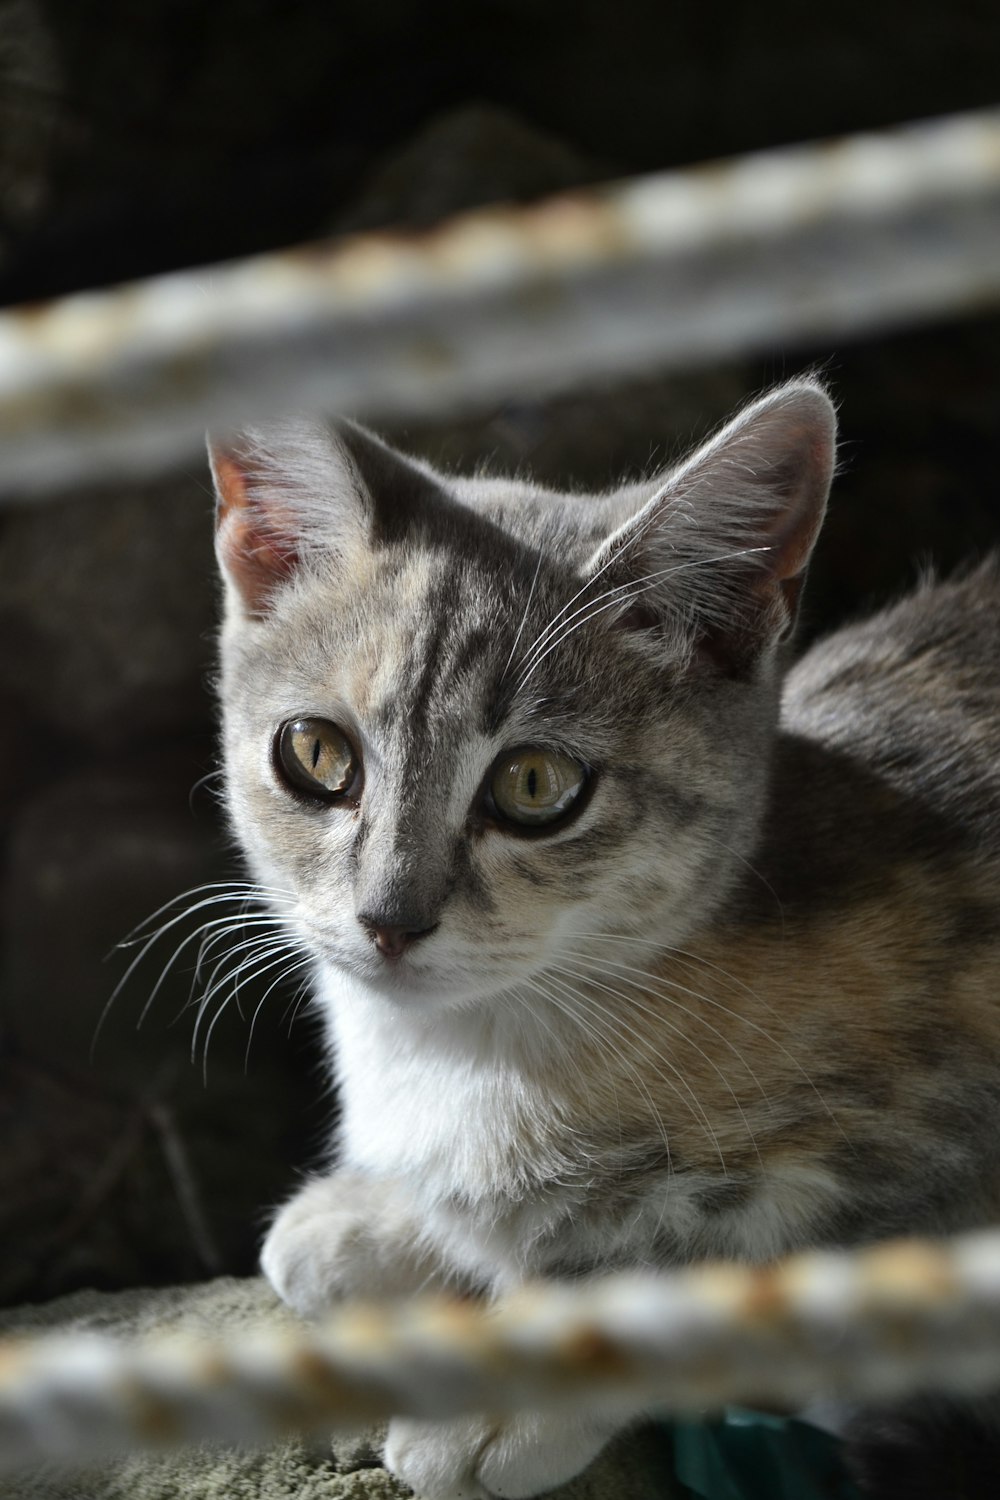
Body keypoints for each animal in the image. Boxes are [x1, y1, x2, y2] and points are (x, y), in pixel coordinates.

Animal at [206, 381, 1000, 1494]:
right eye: (316, 754)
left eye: (536, 785)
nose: (389, 918)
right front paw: (378, 1219)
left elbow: (721, 1252)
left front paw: (517, 1385)